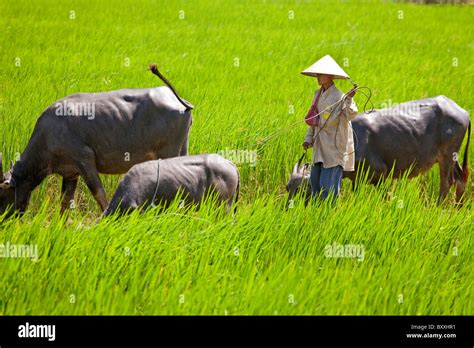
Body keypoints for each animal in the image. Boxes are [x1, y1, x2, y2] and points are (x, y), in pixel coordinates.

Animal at [0, 63, 193, 216]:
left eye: (1, 194)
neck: (47, 135)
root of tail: (180, 101)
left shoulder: (85, 160)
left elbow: (99, 194)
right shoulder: (70, 173)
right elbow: (65, 204)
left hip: (168, 152)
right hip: (183, 148)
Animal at [288, 94, 470, 205]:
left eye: (300, 189)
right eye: (288, 187)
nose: (287, 207)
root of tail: (464, 112)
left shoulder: (381, 174)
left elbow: (386, 196)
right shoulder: (357, 179)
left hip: (447, 156)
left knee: (447, 182)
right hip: (453, 158)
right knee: (460, 180)